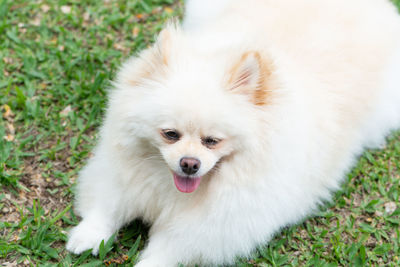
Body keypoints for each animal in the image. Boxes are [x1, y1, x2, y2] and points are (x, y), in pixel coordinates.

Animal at [67, 1, 400, 266]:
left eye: (212, 141)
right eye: (170, 134)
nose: (190, 163)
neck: (168, 187)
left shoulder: (212, 227)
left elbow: (166, 250)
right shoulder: (117, 174)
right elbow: (107, 206)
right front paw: (88, 235)